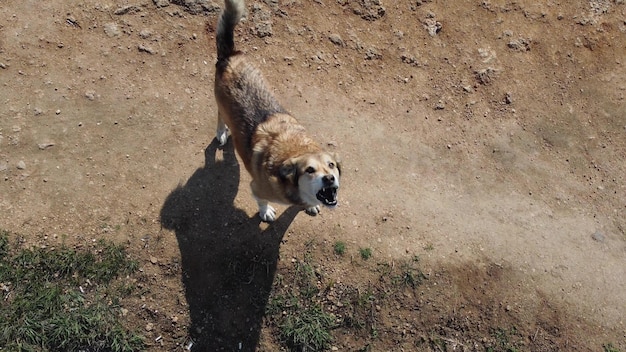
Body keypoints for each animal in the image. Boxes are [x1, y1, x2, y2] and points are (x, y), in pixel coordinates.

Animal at [214, 0, 342, 221]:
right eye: (309, 170)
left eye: (331, 165)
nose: (329, 178)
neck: (297, 150)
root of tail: (230, 56)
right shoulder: (256, 188)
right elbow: (262, 201)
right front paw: (265, 211)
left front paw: (311, 205)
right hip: (222, 106)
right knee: (220, 116)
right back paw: (221, 132)